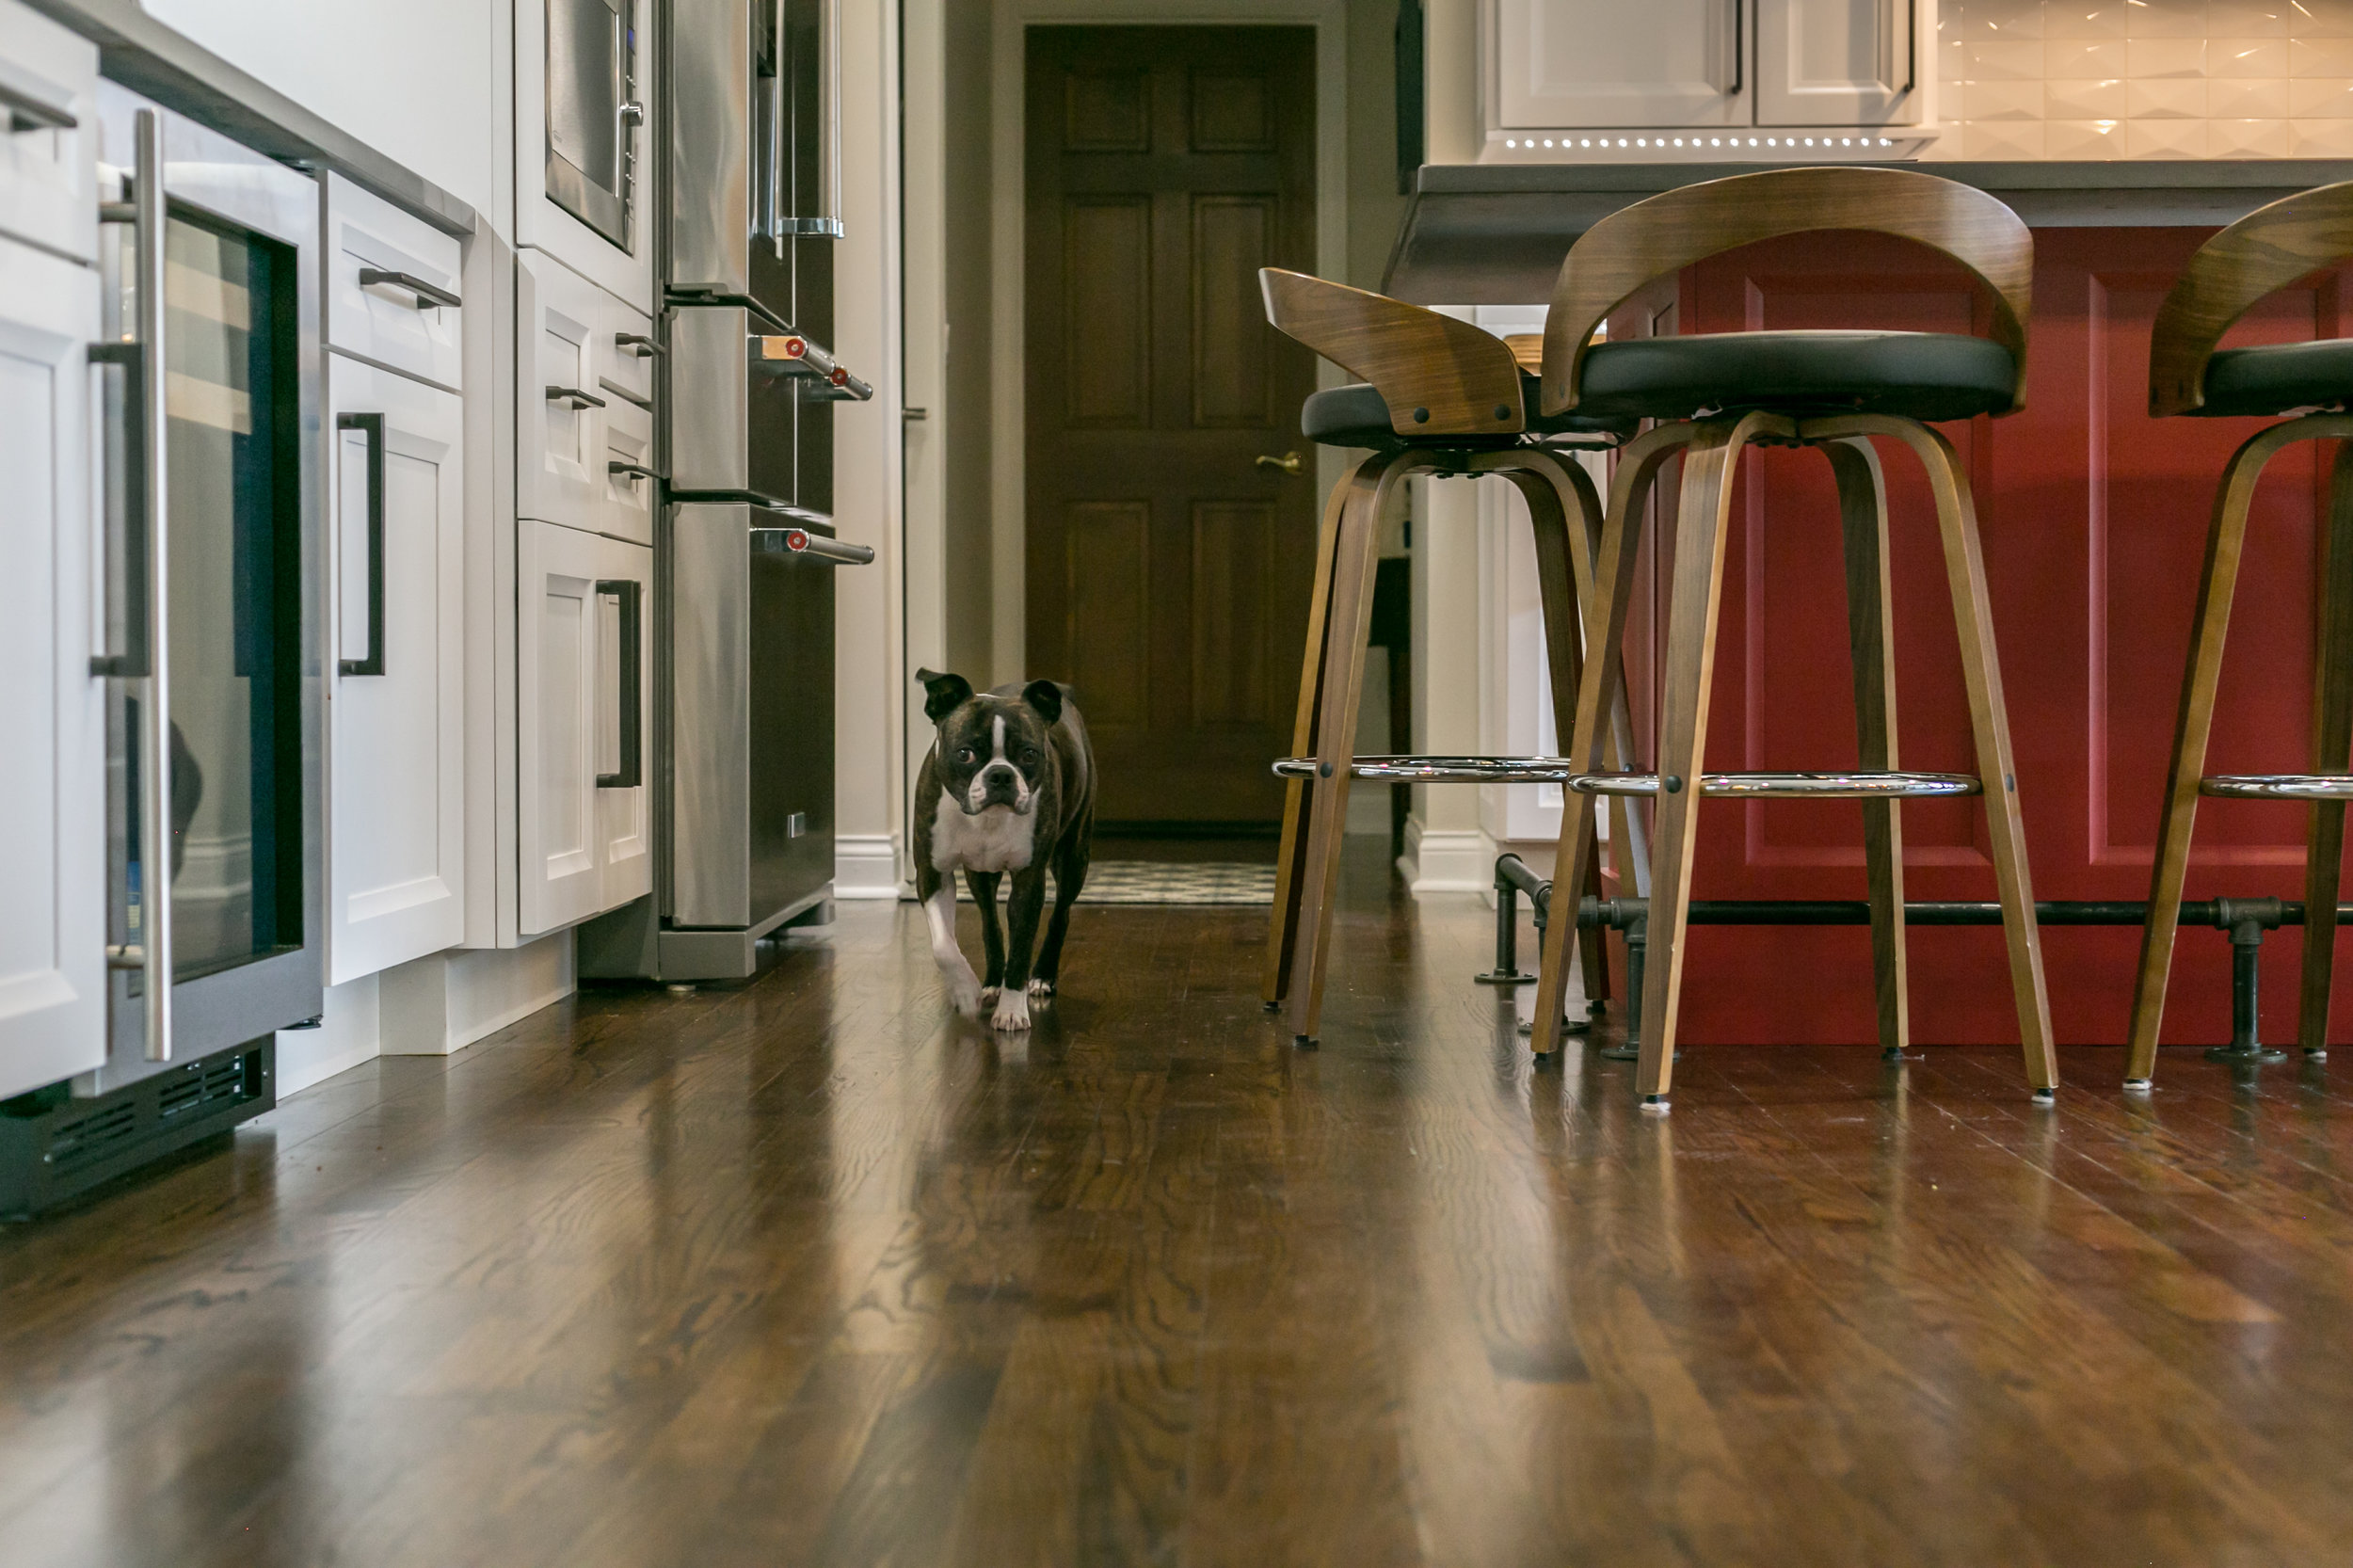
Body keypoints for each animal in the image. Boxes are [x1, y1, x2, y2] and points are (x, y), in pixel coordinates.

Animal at [912, 669, 1096, 1031]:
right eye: (965, 753)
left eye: (1029, 754)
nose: (1000, 775)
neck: (986, 820)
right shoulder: (932, 873)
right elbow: (944, 947)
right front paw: (965, 991)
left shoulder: (1029, 879)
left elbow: (1021, 948)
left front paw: (1012, 1010)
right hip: (979, 875)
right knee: (990, 923)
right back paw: (990, 981)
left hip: (1073, 856)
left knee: (1060, 914)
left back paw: (1042, 976)